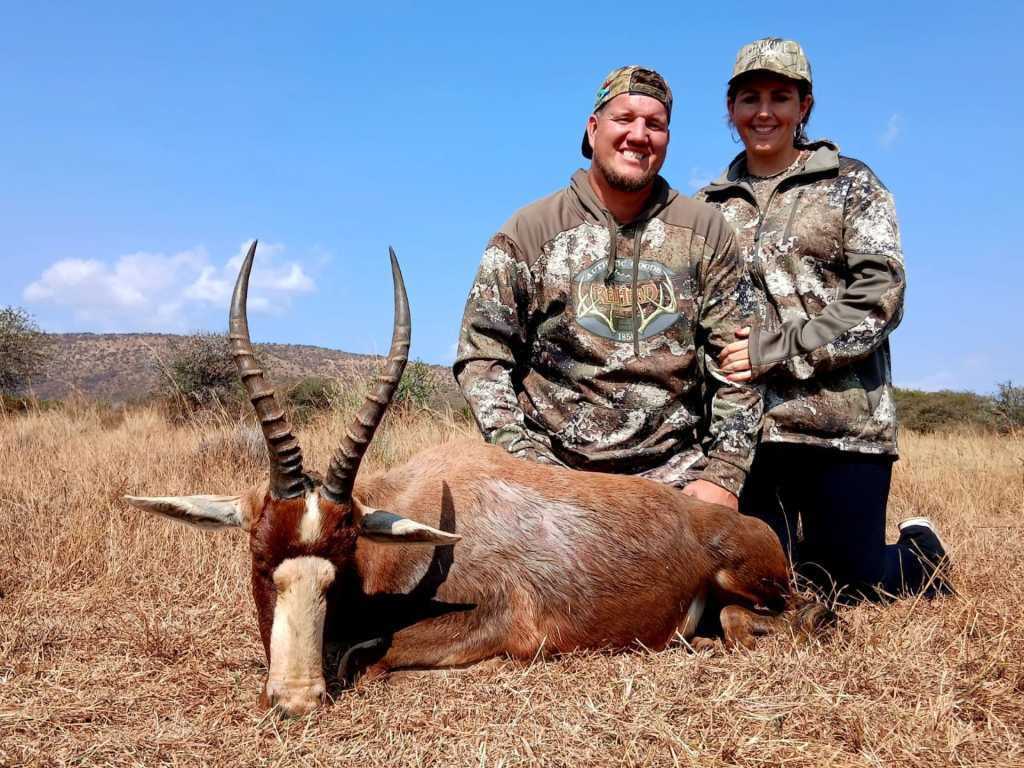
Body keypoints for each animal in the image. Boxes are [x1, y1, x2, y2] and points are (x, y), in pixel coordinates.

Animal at [125, 241, 832, 717]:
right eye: (258, 554)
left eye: (344, 556)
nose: (295, 700)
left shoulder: (497, 625)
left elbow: (363, 655)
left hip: (756, 586)